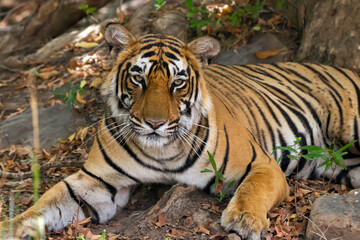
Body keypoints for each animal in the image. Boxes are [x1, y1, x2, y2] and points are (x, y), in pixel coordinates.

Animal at [0, 21, 360, 239]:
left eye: (177, 83)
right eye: (138, 78)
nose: (155, 123)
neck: (162, 152)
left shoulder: (262, 164)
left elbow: (252, 189)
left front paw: (244, 220)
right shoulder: (96, 182)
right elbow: (45, 204)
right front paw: (10, 225)